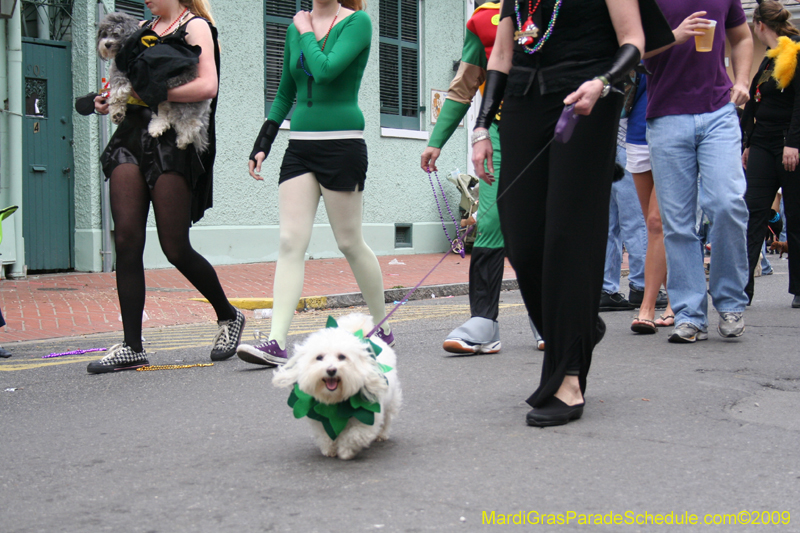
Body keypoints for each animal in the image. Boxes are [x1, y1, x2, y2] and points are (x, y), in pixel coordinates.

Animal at [97, 11, 212, 152]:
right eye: (104, 34)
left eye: (116, 34)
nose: (106, 44)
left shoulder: (121, 76)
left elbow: (116, 96)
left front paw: (116, 113)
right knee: (166, 114)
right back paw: (157, 128)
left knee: (191, 124)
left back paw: (183, 141)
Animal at [274, 314, 400, 460]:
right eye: (319, 357)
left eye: (342, 356)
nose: (331, 370)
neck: (335, 400)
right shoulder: (320, 417)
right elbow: (326, 434)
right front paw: (330, 449)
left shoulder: (368, 415)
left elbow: (355, 435)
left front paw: (345, 451)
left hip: (391, 400)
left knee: (387, 418)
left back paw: (382, 434)